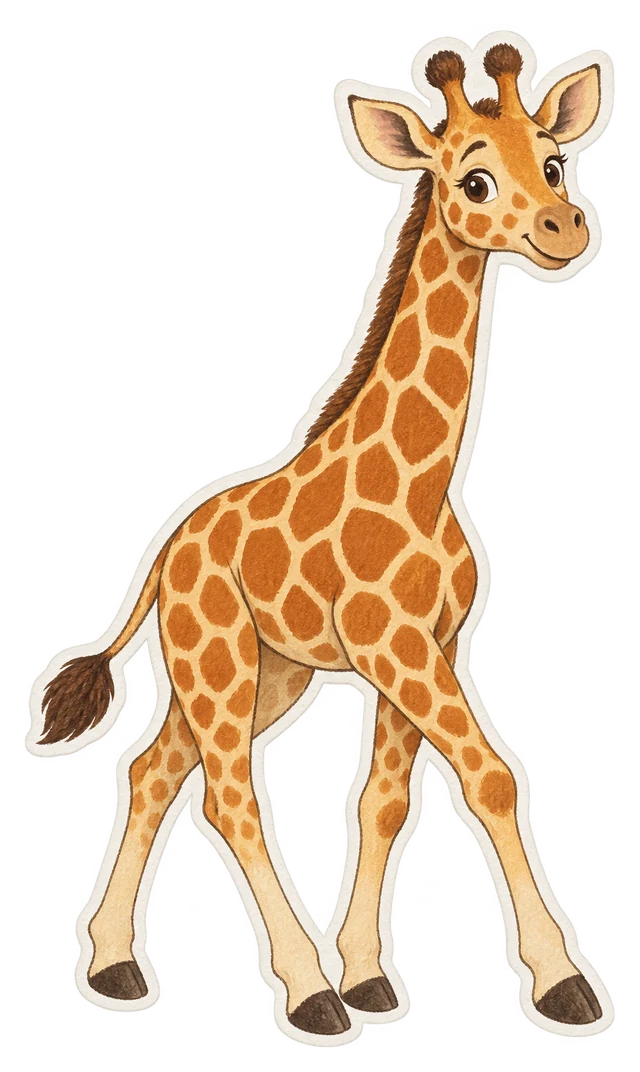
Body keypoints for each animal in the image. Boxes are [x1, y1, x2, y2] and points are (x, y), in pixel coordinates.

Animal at [28, 41, 613, 1038]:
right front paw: (561, 982)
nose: (563, 229)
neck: (423, 482)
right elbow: (491, 776)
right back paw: (305, 994)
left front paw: (374, 976)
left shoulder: (426, 646)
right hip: (219, 659)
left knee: (153, 770)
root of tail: (165, 554)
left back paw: (115, 969)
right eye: (475, 178)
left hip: (262, 673)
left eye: (554, 162)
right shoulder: (395, 647)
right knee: (227, 794)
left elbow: (383, 800)